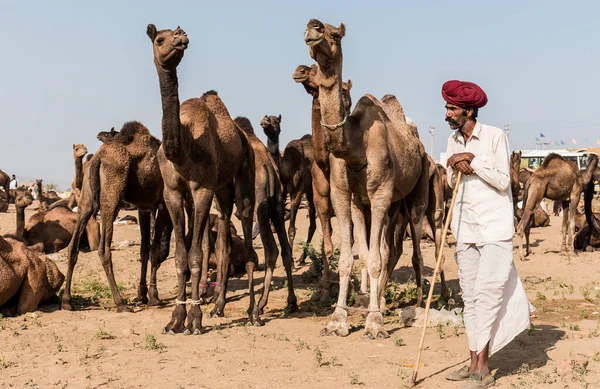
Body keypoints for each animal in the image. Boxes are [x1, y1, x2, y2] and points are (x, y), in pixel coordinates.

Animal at [61, 121, 172, 312]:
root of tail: (98, 158)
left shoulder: (143, 208)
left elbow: (144, 249)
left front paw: (142, 294)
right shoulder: (162, 204)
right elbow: (155, 249)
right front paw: (154, 297)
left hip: (86, 200)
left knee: (73, 245)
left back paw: (67, 301)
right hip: (112, 194)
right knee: (104, 250)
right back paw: (120, 303)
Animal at [147, 24, 260, 334]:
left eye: (174, 34)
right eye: (159, 39)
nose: (179, 37)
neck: (185, 147)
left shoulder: (202, 189)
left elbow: (196, 256)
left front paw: (194, 319)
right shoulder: (172, 192)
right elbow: (181, 257)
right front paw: (175, 318)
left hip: (244, 174)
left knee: (246, 233)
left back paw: (253, 313)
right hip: (222, 189)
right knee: (224, 235)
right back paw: (218, 306)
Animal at [258, 113, 316, 262]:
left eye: (276, 121)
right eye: (267, 117)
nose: (265, 121)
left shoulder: (297, 192)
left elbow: (291, 229)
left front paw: (291, 260)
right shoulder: (283, 194)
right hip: (310, 191)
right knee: (313, 222)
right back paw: (302, 258)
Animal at [308, 19, 428, 338]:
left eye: (335, 34)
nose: (312, 28)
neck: (354, 147)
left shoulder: (380, 195)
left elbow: (374, 258)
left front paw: (374, 322)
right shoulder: (345, 196)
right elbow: (351, 258)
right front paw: (338, 319)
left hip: (416, 195)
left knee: (411, 248)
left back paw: (418, 302)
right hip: (386, 206)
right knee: (391, 249)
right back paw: (381, 298)